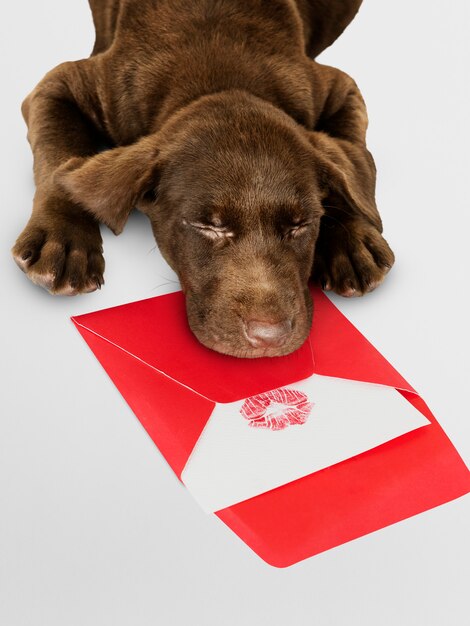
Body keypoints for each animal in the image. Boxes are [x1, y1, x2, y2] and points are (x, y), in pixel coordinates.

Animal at [11, 1, 394, 356]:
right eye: (206, 226)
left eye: (302, 225)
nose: (269, 337)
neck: (220, 76)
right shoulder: (64, 84)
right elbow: (59, 160)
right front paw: (63, 238)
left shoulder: (337, 88)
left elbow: (350, 164)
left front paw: (352, 243)